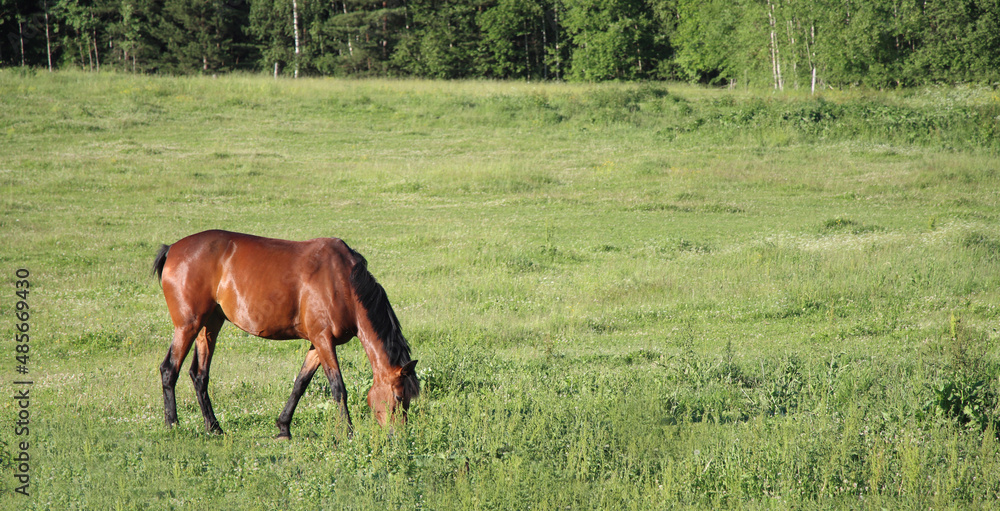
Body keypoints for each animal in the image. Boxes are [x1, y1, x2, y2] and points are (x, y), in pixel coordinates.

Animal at [152, 230, 419, 439]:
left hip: (209, 325)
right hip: (188, 325)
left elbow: (300, 383)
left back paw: (214, 427)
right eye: (398, 397)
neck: (343, 283)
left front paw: (283, 428)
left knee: (199, 375)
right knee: (170, 369)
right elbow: (338, 387)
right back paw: (173, 424)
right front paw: (348, 432)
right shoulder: (323, 340)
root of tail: (172, 249)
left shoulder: (317, 343)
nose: (397, 436)